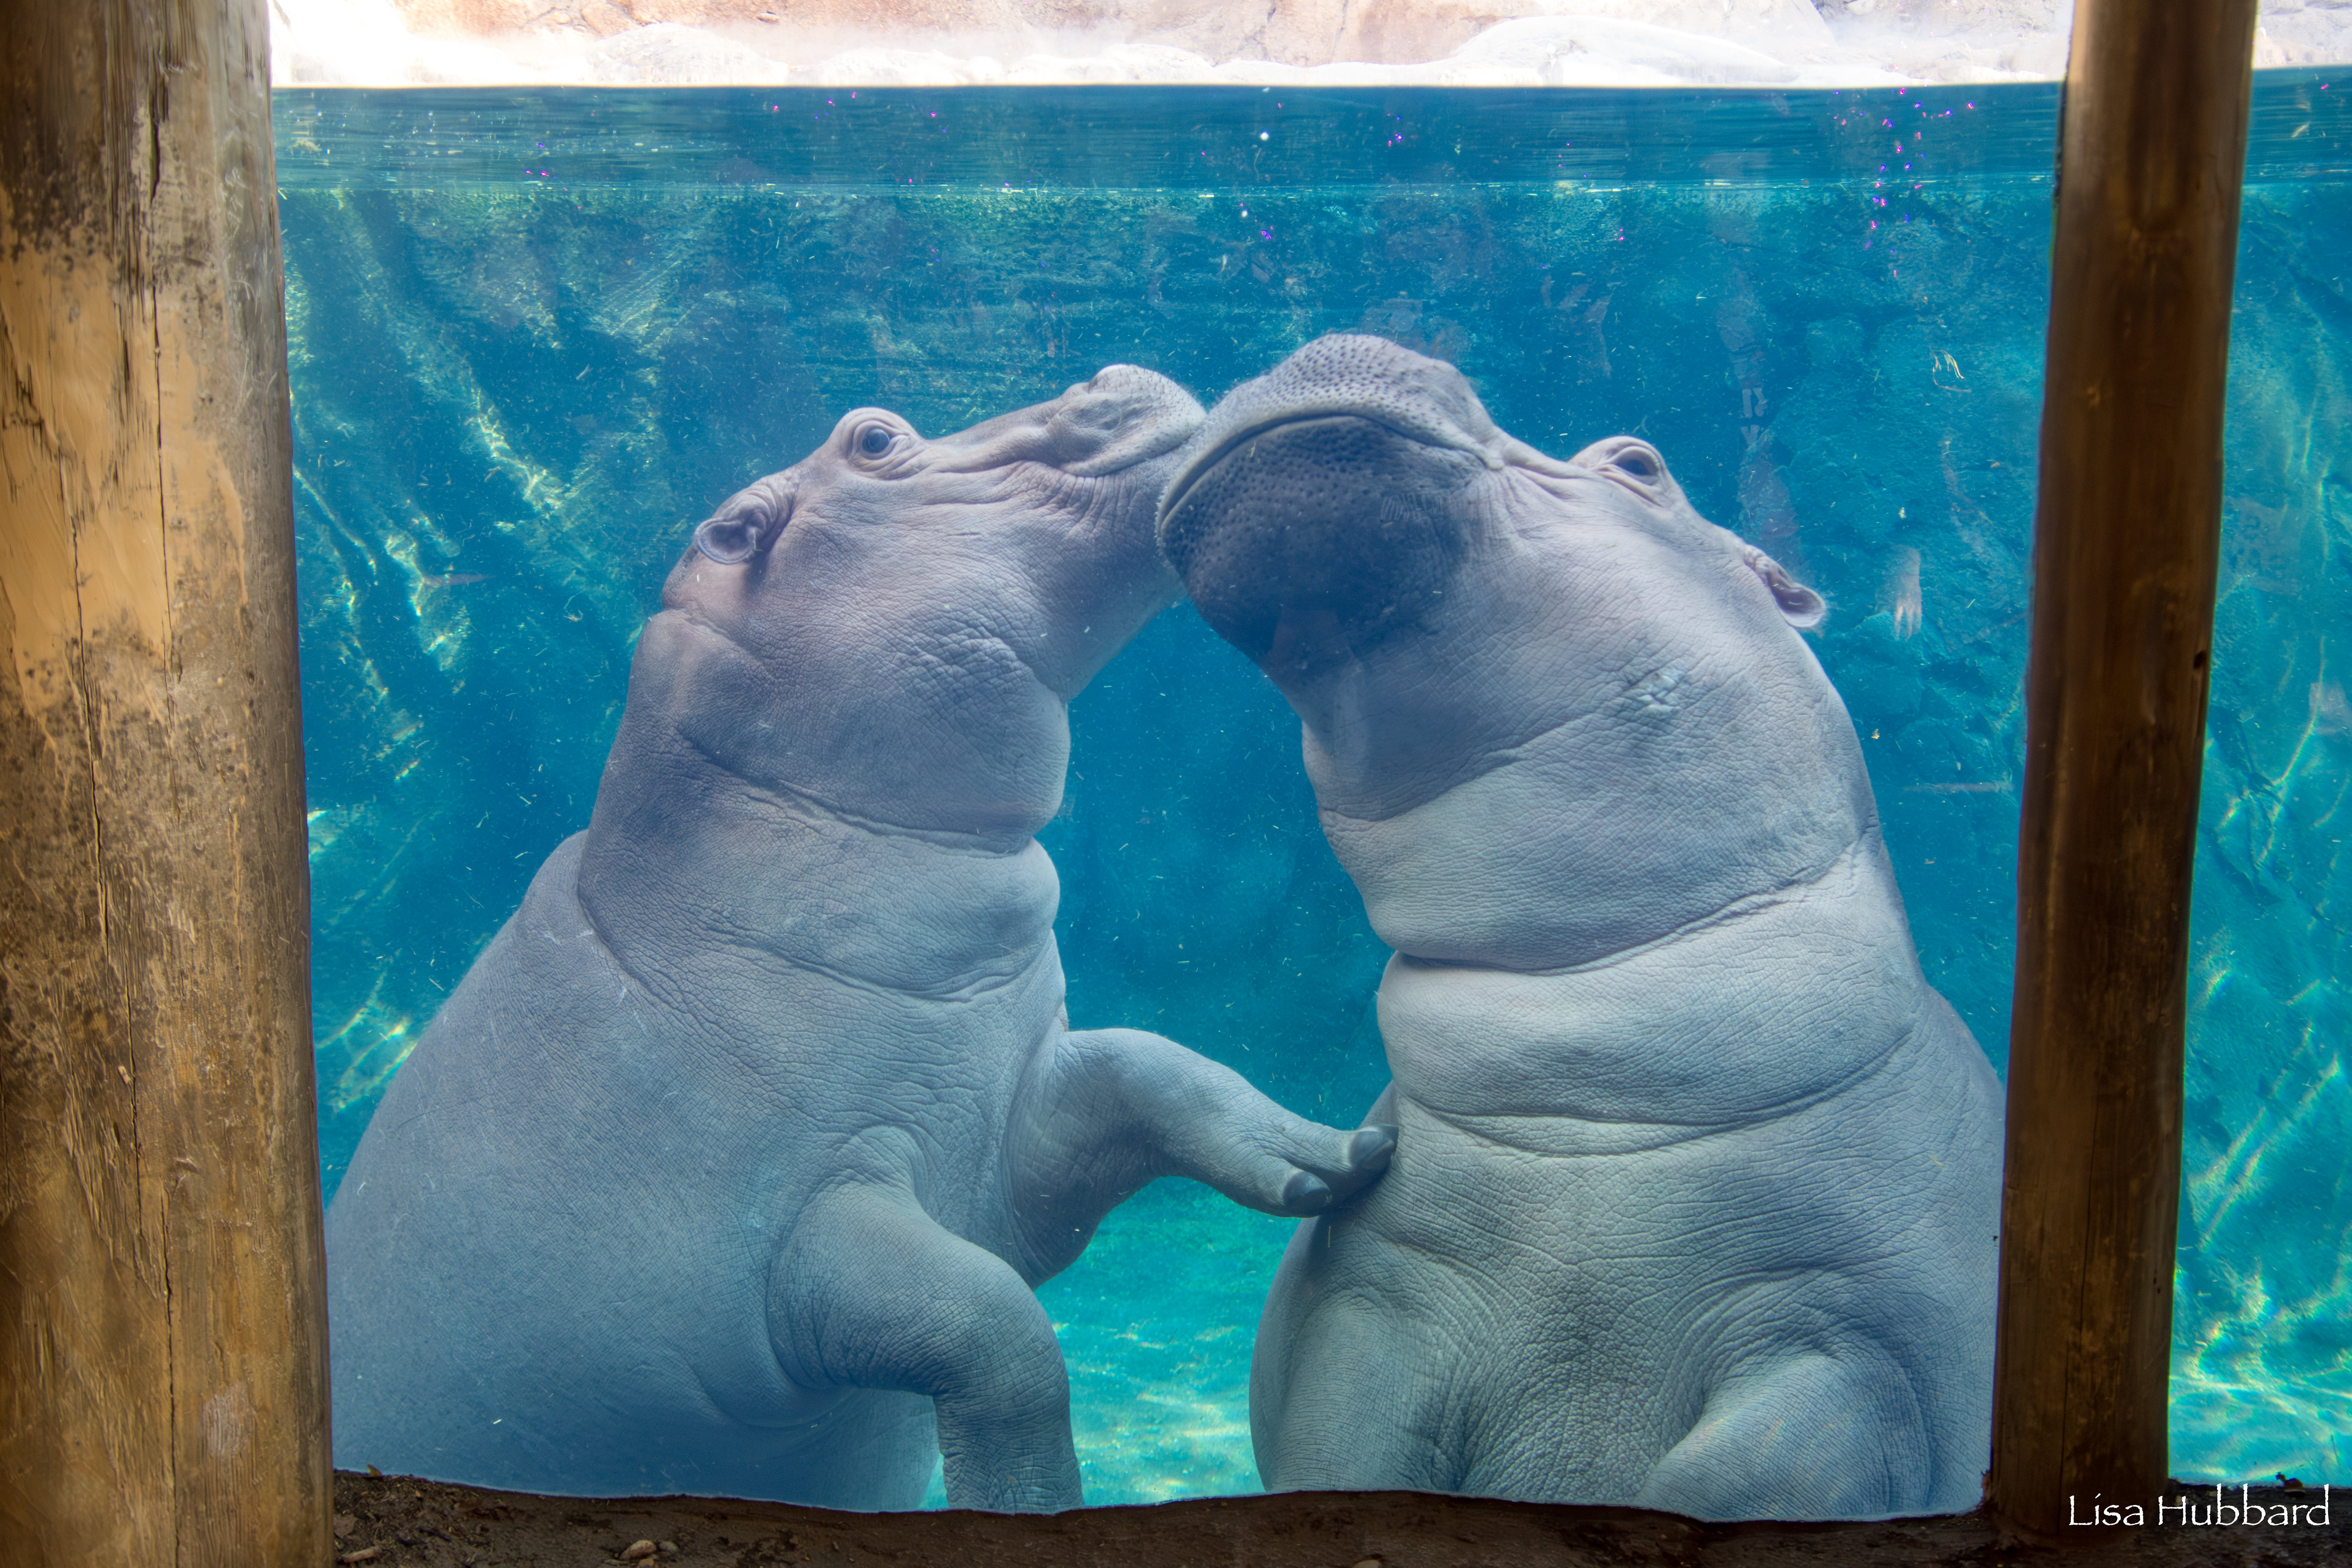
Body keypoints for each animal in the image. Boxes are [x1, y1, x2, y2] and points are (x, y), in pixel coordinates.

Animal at [325, 366, 1395, 1513]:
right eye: (875, 440)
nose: (1107, 376)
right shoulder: (803, 1241)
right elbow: (1000, 1330)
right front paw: (1030, 1506)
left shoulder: (1010, 1143)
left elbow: (1148, 1065)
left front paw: (1331, 1162)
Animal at [1154, 336, 2003, 1521]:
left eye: (1639, 463)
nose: (1311, 343)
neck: (1595, 1076)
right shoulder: (1374, 1302)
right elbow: (1340, 1449)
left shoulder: (1857, 1346)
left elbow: (1730, 1475)